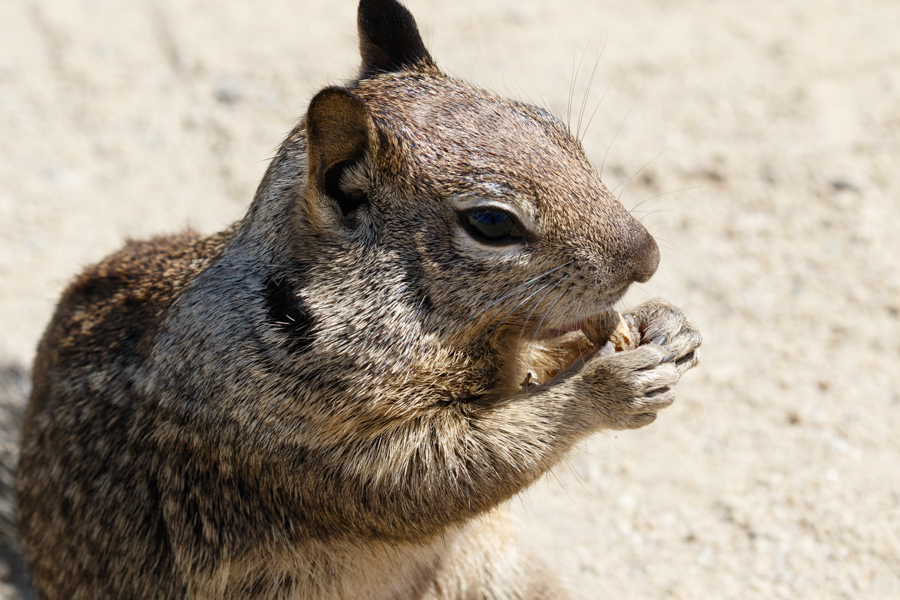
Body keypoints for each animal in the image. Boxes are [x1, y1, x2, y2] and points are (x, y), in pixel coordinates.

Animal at [15, 0, 704, 596]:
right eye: (490, 223)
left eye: (554, 127)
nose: (648, 259)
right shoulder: (310, 436)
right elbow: (450, 472)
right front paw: (610, 384)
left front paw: (665, 324)